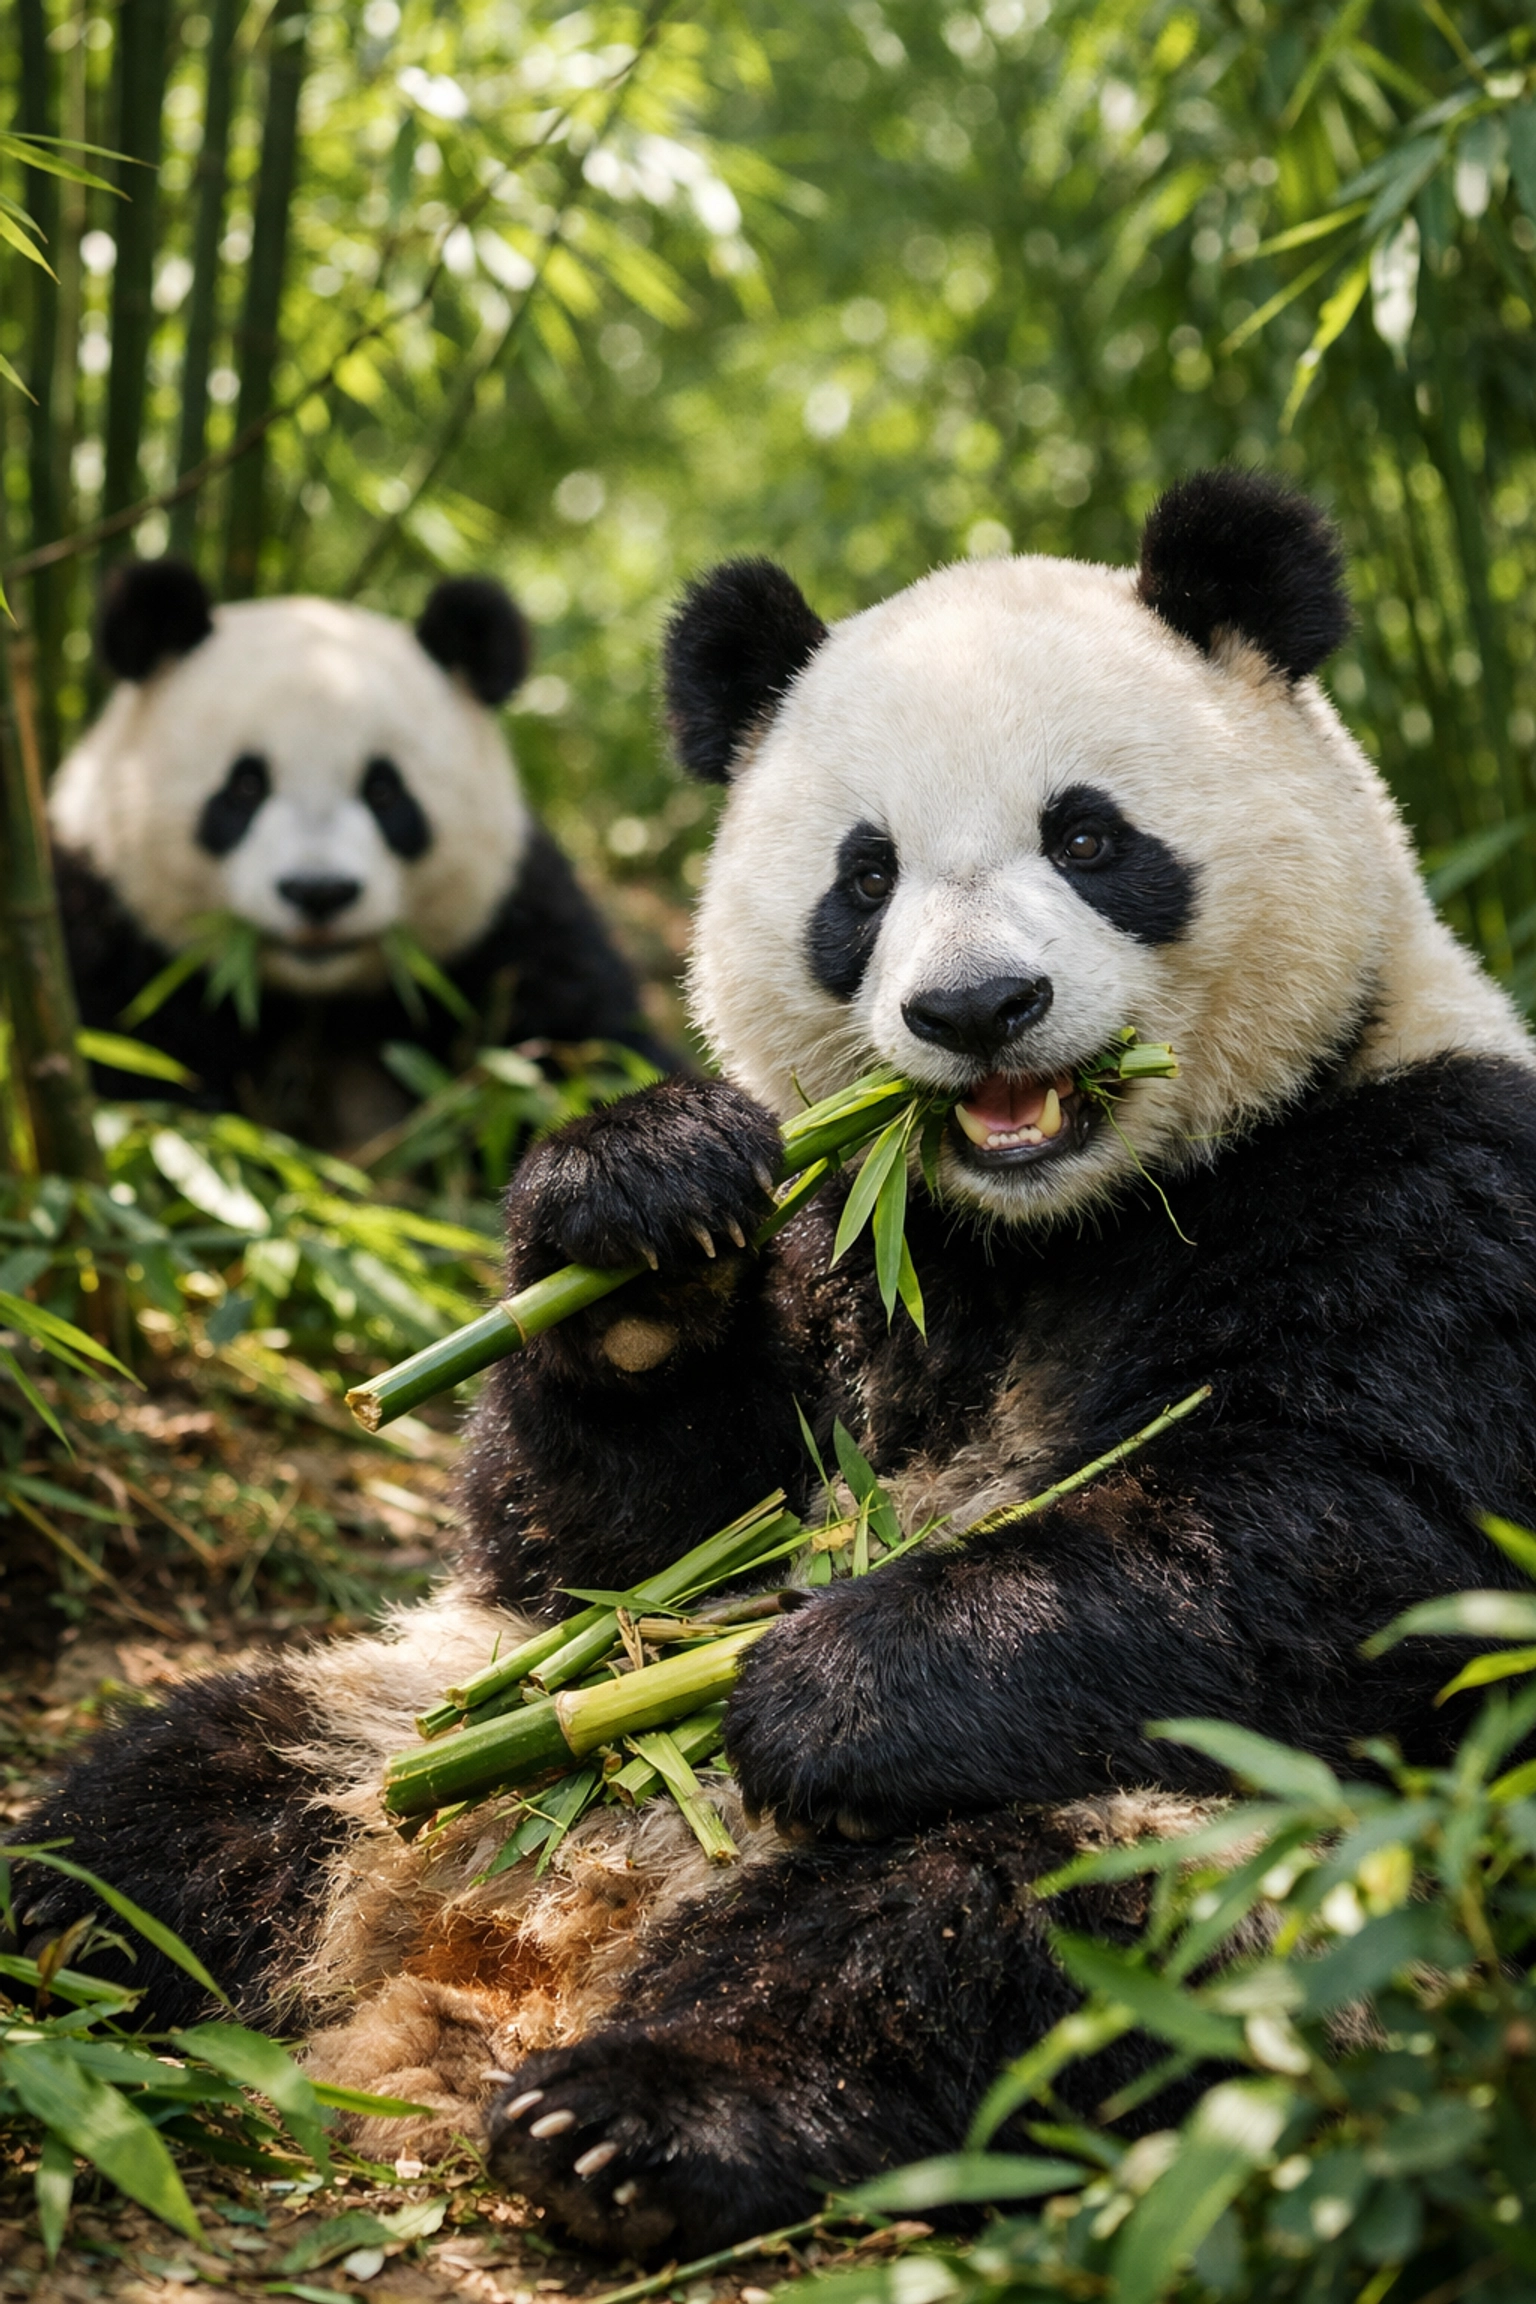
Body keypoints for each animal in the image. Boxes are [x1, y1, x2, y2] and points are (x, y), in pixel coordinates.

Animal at [51, 559, 665, 1150]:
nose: (319, 892)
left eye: (384, 791)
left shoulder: (511, 931)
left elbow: (585, 1049)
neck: (315, 1001)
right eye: (245, 786)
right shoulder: (105, 932)